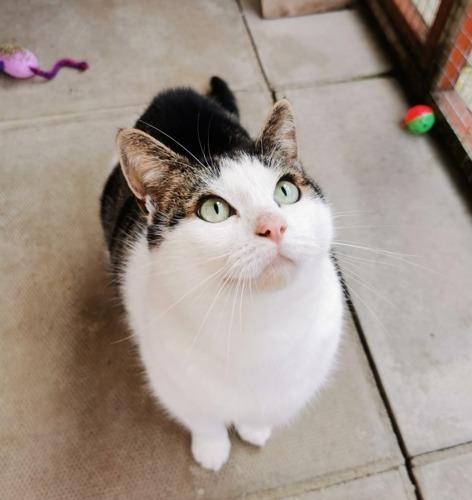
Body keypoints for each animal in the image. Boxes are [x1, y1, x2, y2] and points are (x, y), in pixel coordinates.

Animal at [99, 76, 342, 470]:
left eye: (285, 191)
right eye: (214, 210)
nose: (274, 226)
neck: (260, 321)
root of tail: (176, 92)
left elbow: (260, 412)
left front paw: (253, 429)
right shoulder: (174, 383)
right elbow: (205, 421)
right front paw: (211, 451)